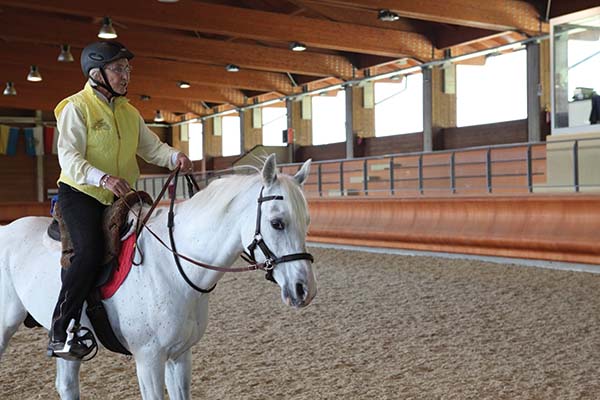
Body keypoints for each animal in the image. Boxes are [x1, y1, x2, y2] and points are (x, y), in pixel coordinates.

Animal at [0, 155, 316, 398]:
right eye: (277, 223)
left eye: (306, 221)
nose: (304, 289)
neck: (172, 268)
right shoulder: (149, 359)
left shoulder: (180, 356)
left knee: (66, 385)